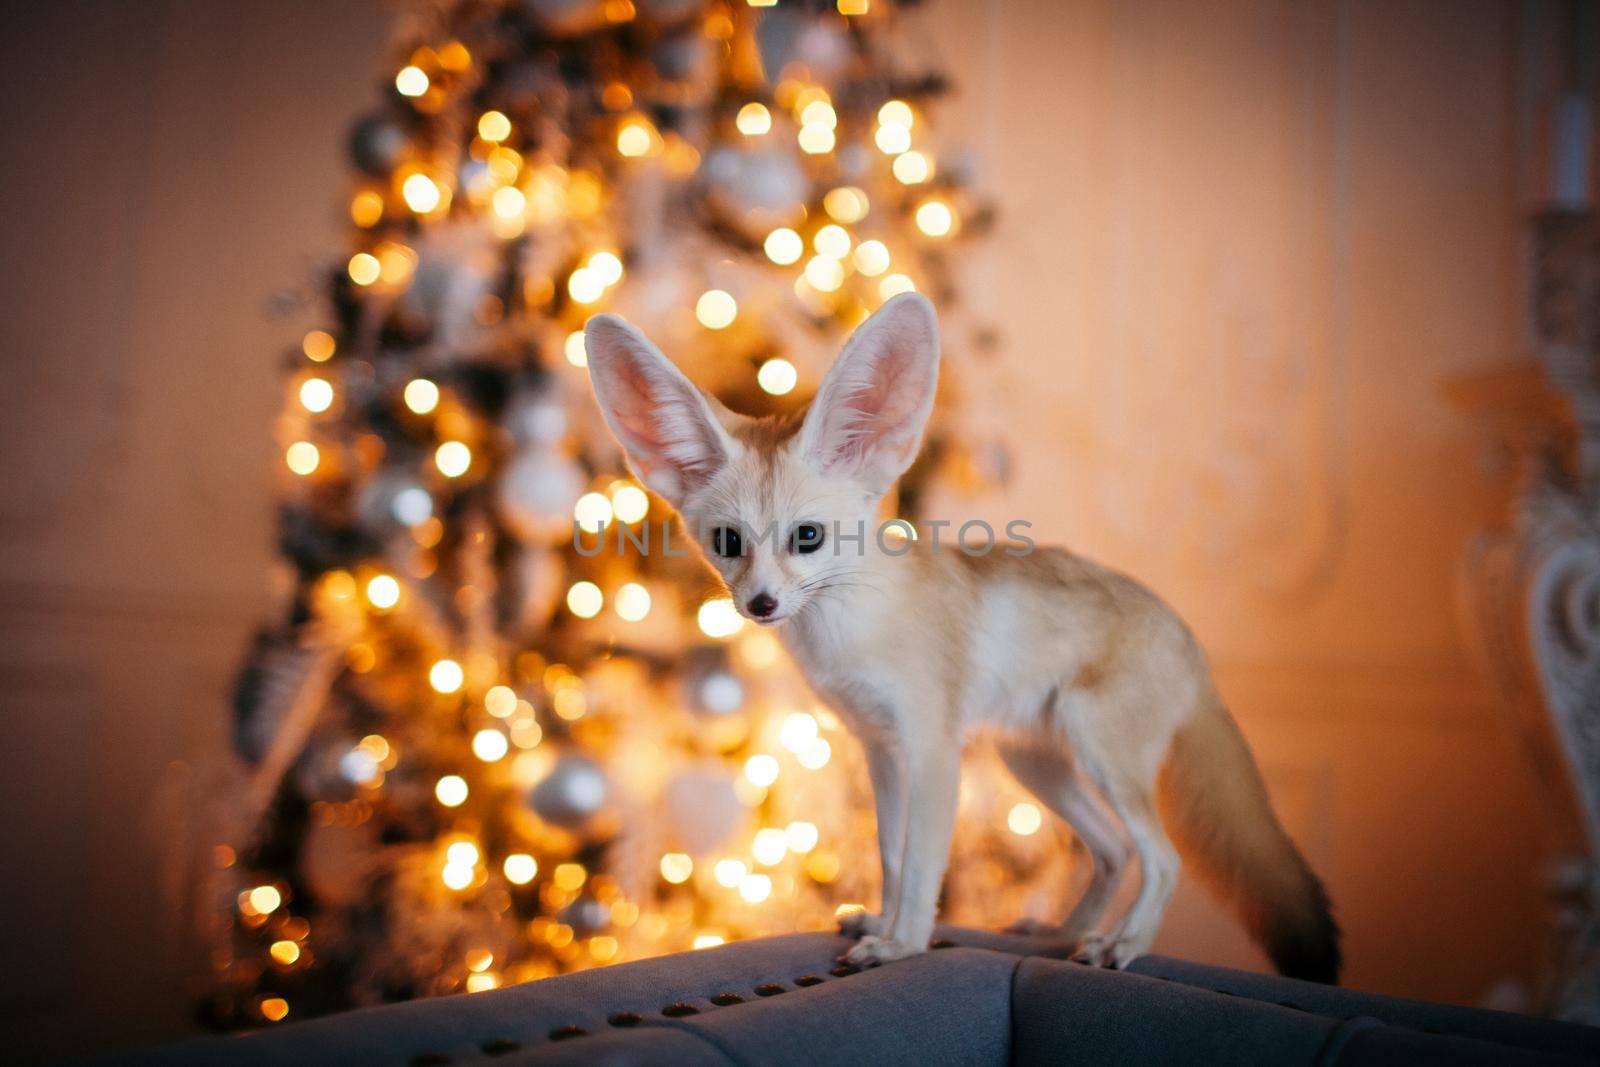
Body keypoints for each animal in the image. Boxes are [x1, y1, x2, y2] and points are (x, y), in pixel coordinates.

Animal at [585, 292, 1337, 985]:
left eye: (808, 536)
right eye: (727, 542)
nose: (761, 604)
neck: (854, 633)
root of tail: (1192, 642)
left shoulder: (932, 749)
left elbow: (922, 864)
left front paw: (903, 944)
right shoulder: (880, 749)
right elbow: (891, 856)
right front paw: (883, 924)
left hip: (1098, 754)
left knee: (1162, 857)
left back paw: (1120, 946)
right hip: (1036, 763)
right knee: (1116, 850)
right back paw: (1058, 934)